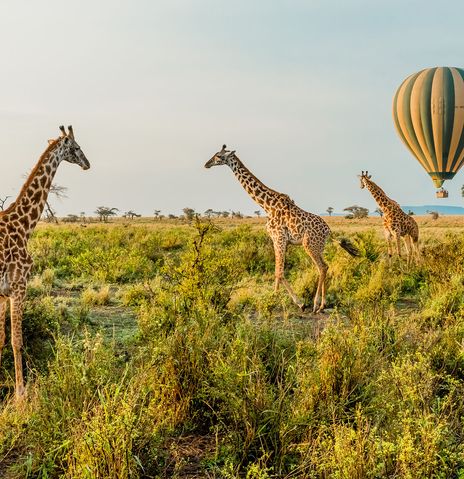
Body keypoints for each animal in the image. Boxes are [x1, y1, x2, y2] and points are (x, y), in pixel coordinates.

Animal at [0, 125, 89, 400]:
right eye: (77, 147)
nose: (87, 164)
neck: (24, 226)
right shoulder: (19, 286)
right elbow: (16, 341)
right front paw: (21, 393)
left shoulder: (4, 293)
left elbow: (3, 338)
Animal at [204, 144, 358, 314]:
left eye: (218, 156)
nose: (206, 164)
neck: (266, 206)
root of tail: (329, 231)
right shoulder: (278, 240)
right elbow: (277, 272)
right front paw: (274, 297)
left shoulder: (279, 238)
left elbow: (280, 272)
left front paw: (297, 303)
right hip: (319, 246)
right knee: (325, 266)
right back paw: (323, 305)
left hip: (309, 245)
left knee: (322, 267)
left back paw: (315, 304)